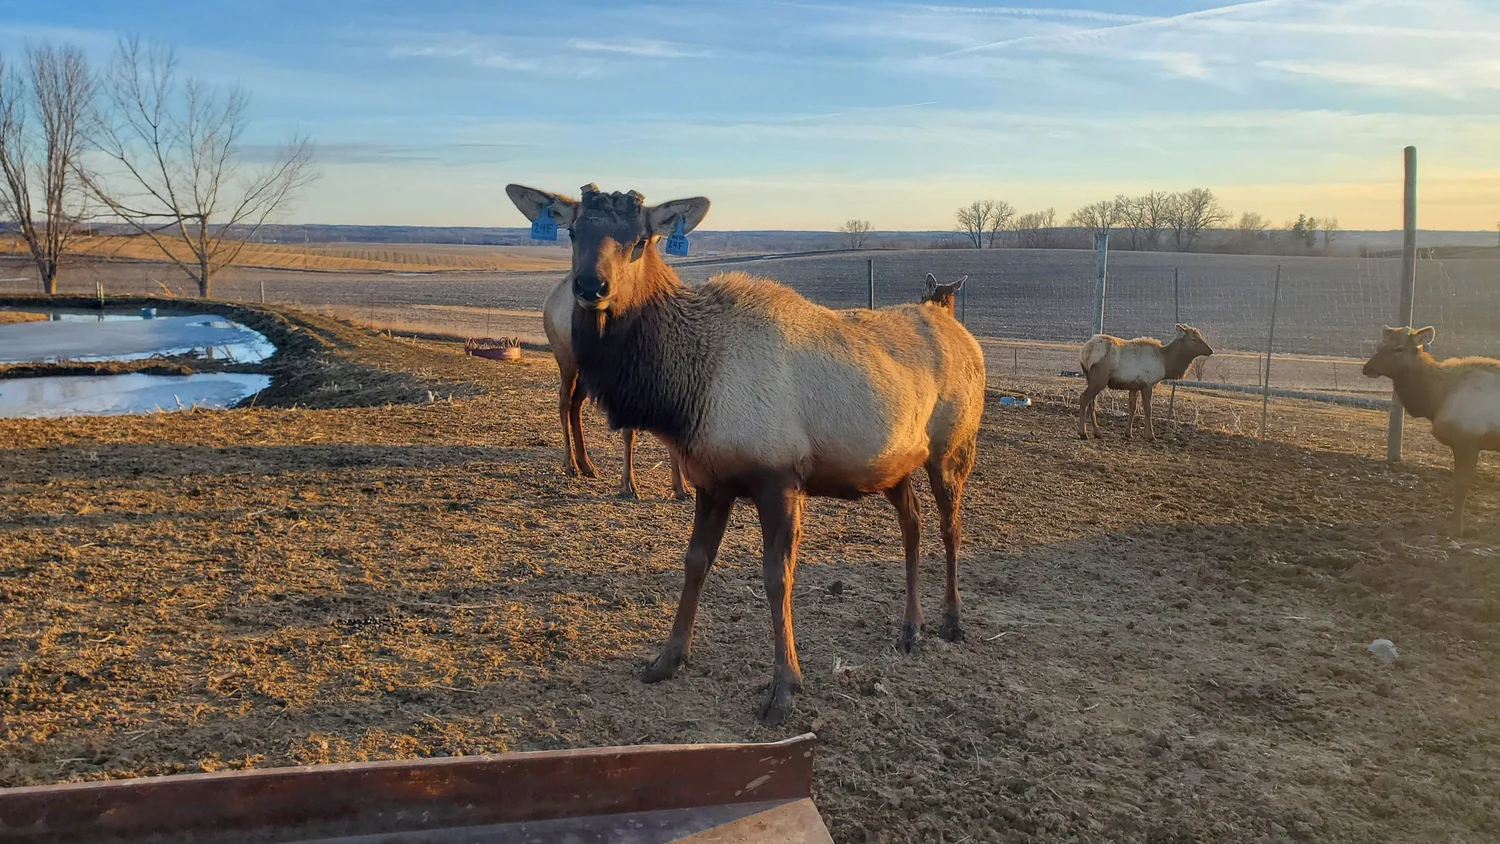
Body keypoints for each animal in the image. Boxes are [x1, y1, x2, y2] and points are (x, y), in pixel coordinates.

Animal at [543, 279, 689, 499]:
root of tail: (550, 300)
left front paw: (681, 488)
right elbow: (629, 434)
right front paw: (629, 485)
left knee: (576, 404)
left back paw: (587, 465)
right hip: (567, 362)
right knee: (564, 401)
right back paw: (571, 465)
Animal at [1078, 325, 1213, 441]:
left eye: (1200, 336)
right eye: (1193, 338)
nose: (1210, 351)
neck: (1166, 362)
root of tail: (1086, 351)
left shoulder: (1134, 386)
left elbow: (1133, 407)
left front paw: (1128, 433)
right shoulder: (1147, 384)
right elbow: (1148, 409)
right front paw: (1151, 436)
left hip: (1090, 378)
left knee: (1092, 402)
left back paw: (1097, 432)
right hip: (1099, 379)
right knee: (1084, 398)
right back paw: (1083, 433)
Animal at [1363, 325, 1500, 536]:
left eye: (1399, 348)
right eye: (1379, 346)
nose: (1367, 368)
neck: (1435, 399)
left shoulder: (1467, 440)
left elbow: (1461, 483)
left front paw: (1455, 528)